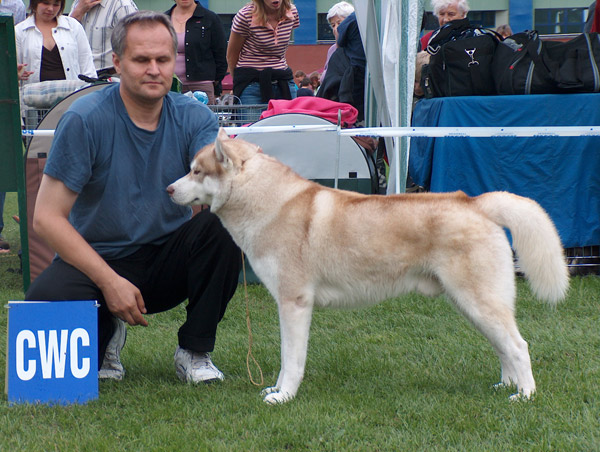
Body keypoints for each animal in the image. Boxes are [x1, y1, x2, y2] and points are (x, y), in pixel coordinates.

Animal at [167, 129, 569, 404]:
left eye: (196, 171)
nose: (169, 189)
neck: (269, 201)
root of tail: (475, 202)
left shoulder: (294, 304)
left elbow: (291, 360)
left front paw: (284, 397)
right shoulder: (287, 304)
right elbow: (284, 361)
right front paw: (277, 390)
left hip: (479, 301)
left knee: (519, 346)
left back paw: (525, 395)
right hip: (472, 305)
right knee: (504, 347)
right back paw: (506, 385)